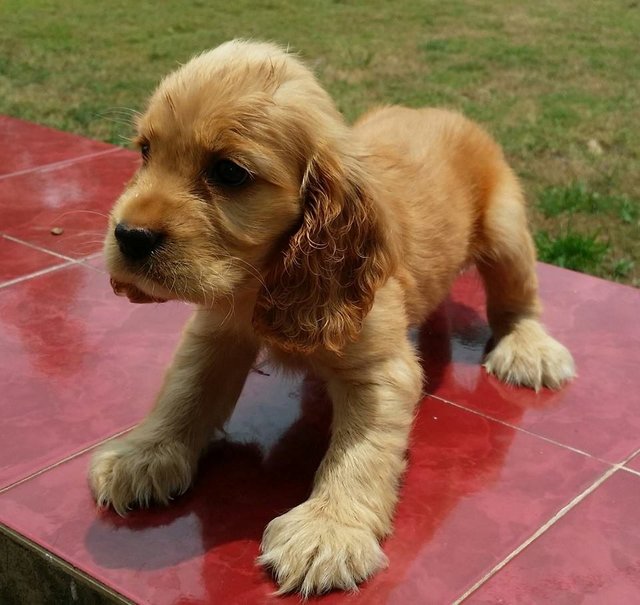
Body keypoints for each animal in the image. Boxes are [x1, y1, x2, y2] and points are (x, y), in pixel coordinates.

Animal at [89, 39, 576, 596]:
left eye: (229, 173)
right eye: (145, 151)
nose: (129, 236)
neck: (264, 278)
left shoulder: (380, 370)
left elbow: (361, 451)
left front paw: (329, 529)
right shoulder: (214, 332)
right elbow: (185, 391)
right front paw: (144, 455)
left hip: (505, 227)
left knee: (517, 298)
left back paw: (528, 347)